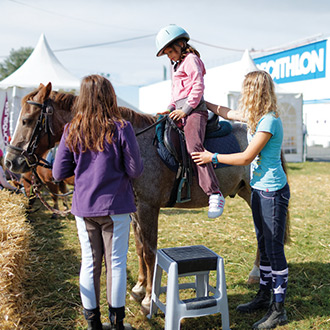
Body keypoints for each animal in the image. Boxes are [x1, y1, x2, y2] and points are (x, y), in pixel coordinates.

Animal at [5, 82, 258, 314]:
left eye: (27, 120)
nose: (10, 161)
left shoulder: (148, 207)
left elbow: (149, 251)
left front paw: (148, 299)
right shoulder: (135, 209)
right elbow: (138, 247)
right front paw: (139, 288)